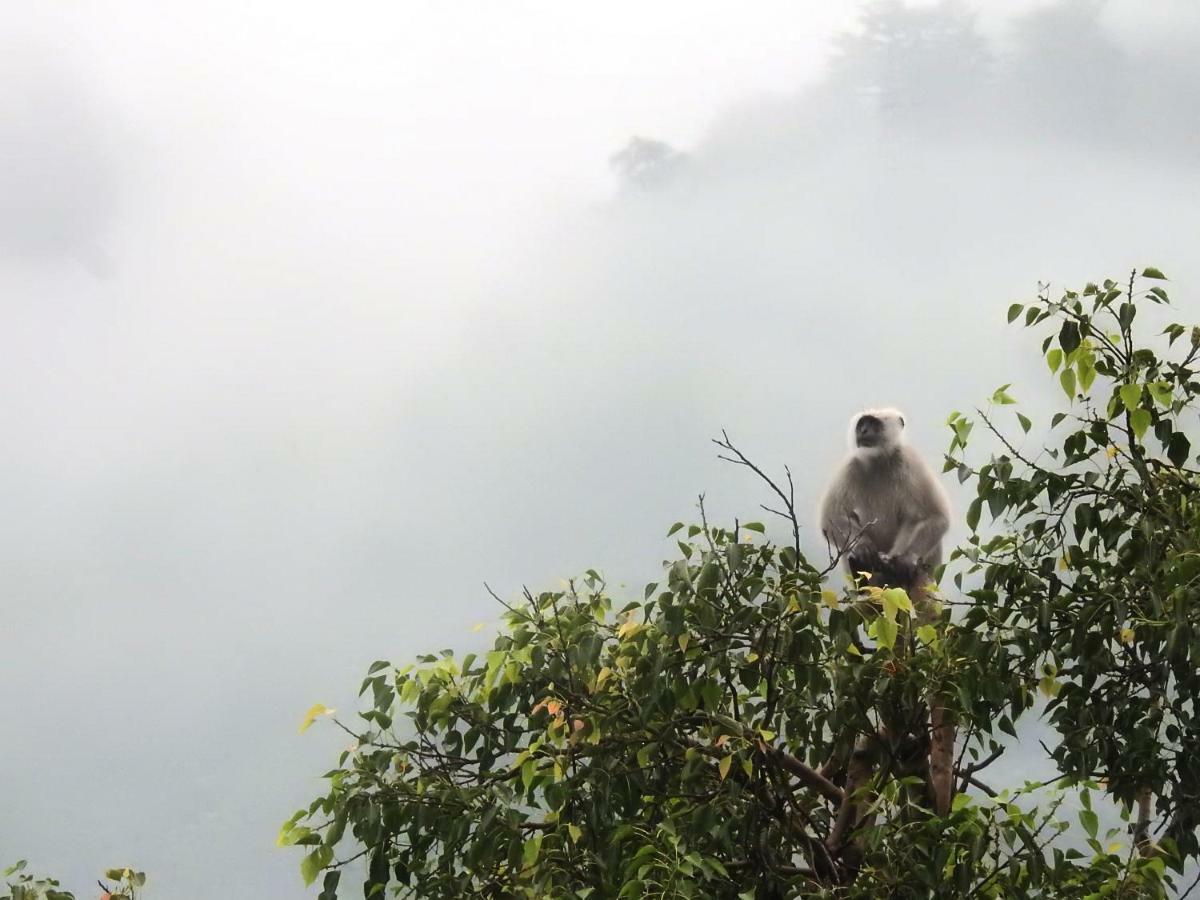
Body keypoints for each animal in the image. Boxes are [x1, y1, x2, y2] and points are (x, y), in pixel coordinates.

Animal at [820, 408, 950, 592]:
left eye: (873, 424)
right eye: (862, 424)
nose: (863, 431)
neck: (878, 462)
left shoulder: (909, 460)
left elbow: (937, 516)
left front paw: (907, 559)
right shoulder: (851, 465)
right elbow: (831, 518)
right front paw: (862, 547)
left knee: (913, 518)